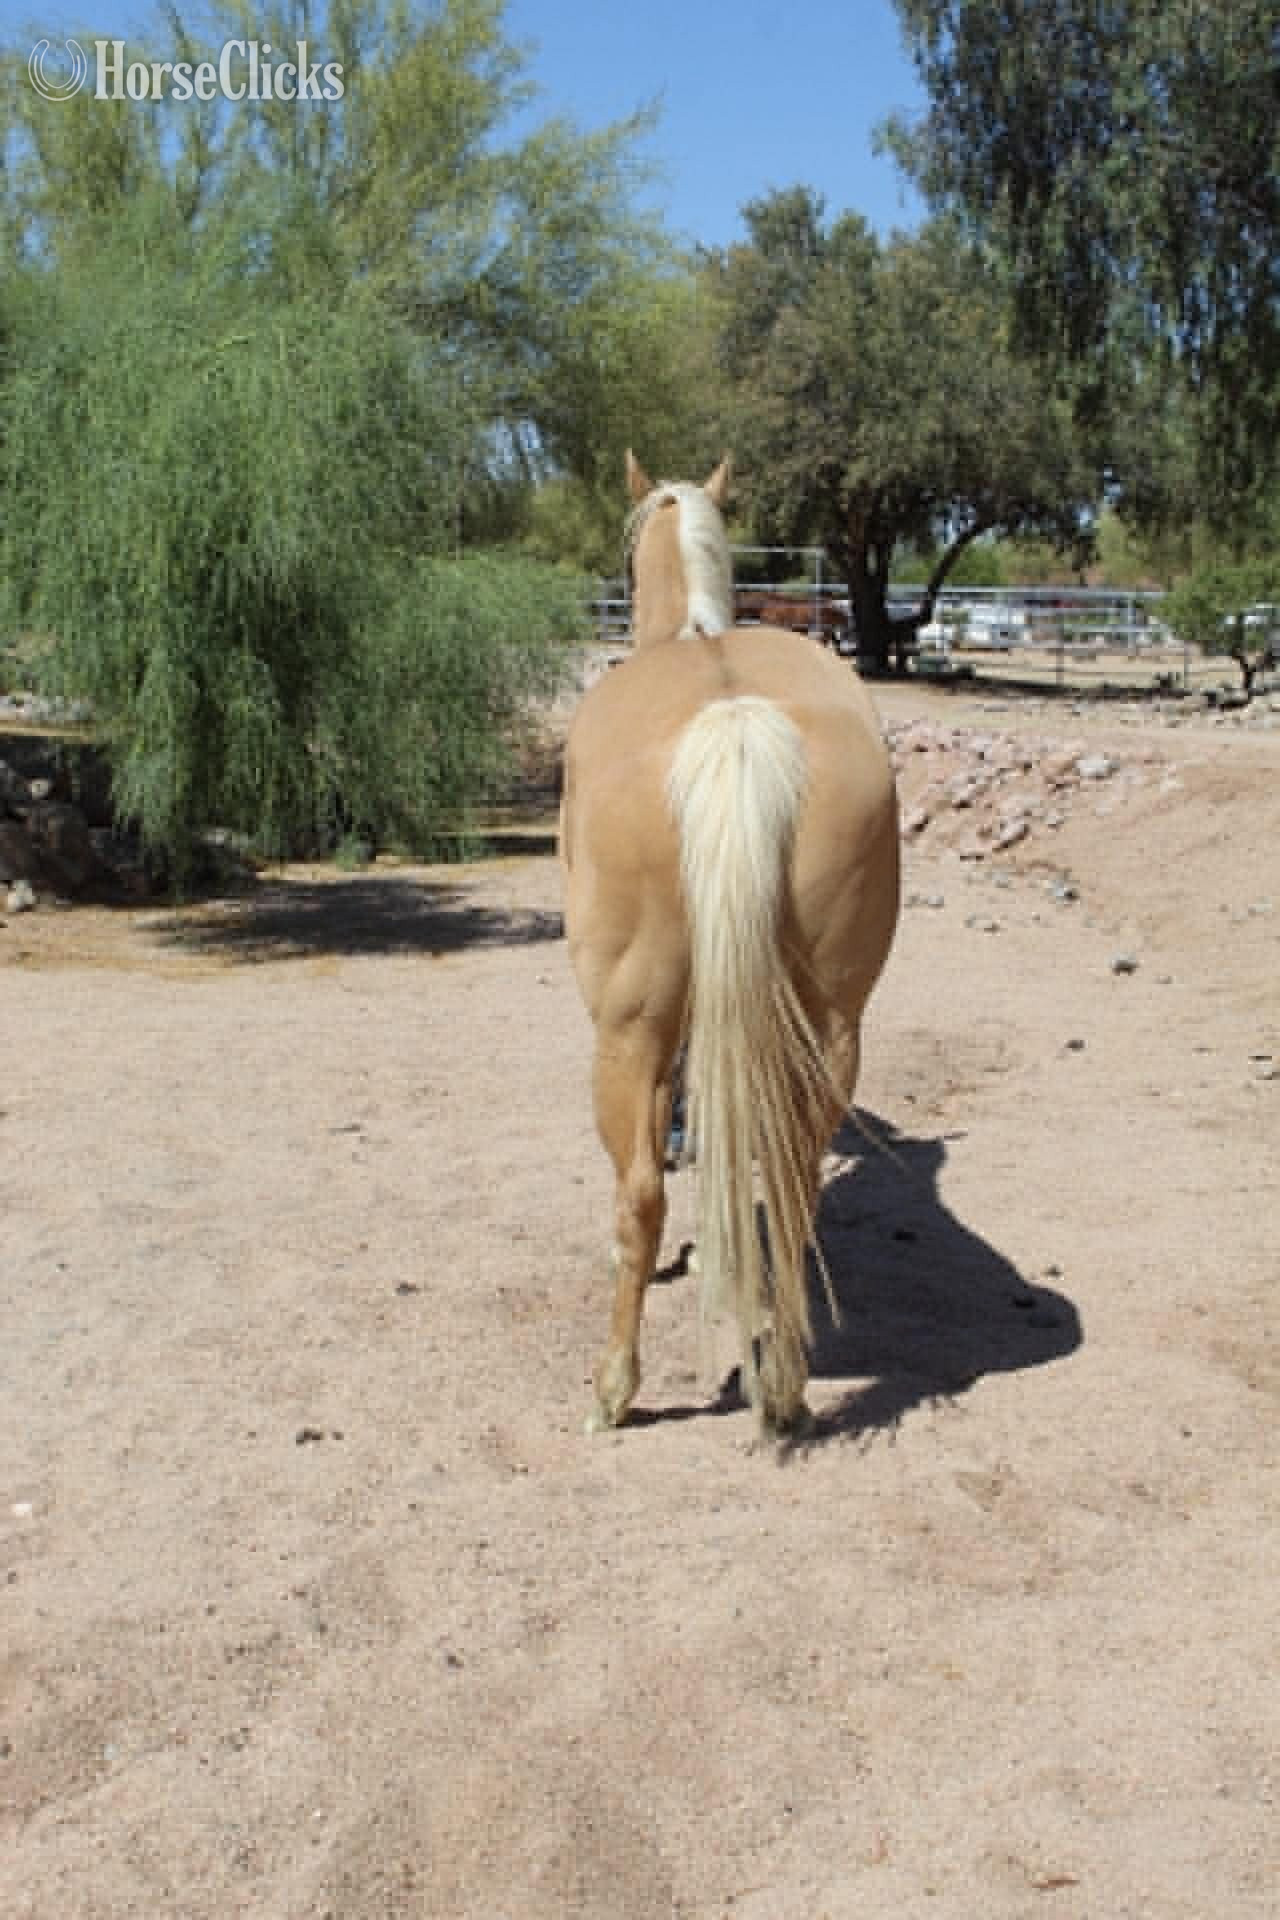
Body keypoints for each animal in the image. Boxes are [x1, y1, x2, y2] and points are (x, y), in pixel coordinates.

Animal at [559, 453, 900, 1436]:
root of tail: (734, 721)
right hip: (832, 1024)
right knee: (789, 1178)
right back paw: (781, 1386)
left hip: (627, 1029)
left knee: (640, 1193)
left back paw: (615, 1390)